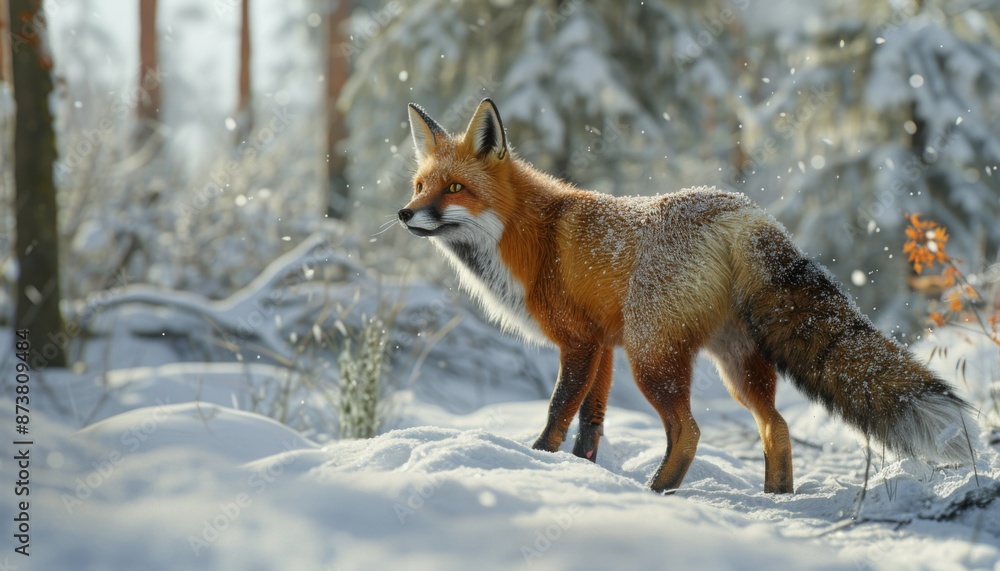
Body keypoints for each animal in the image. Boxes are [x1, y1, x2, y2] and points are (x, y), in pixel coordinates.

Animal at [397, 98, 976, 494]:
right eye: (420, 186)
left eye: (455, 189)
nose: (404, 214)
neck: (532, 239)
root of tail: (742, 209)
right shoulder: (604, 345)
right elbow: (592, 423)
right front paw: (581, 472)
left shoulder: (579, 342)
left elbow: (560, 411)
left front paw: (539, 462)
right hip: (736, 363)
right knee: (776, 425)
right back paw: (776, 496)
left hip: (653, 356)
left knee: (690, 431)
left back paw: (658, 491)